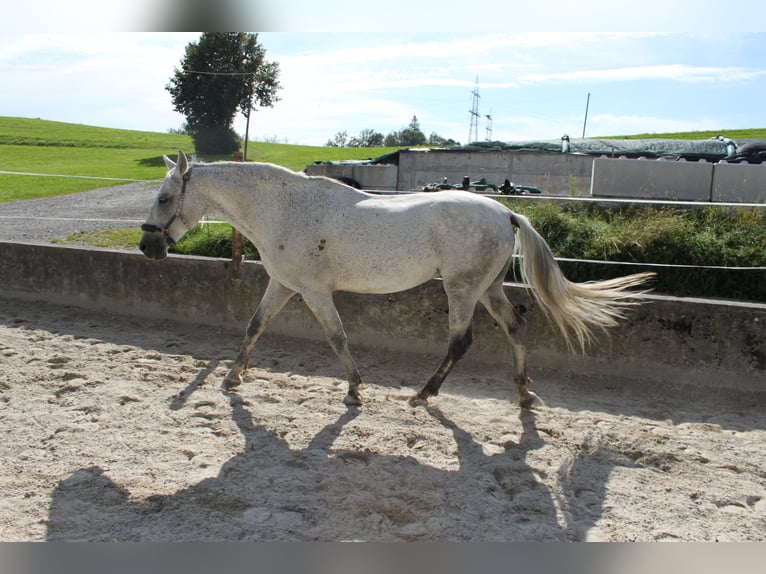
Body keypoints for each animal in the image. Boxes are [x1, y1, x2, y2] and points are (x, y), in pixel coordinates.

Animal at [140, 151, 653, 409]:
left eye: (165, 198)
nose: (148, 248)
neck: (284, 210)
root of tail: (506, 211)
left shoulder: (313, 292)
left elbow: (337, 337)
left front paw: (354, 390)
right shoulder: (284, 285)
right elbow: (254, 326)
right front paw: (232, 378)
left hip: (461, 289)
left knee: (461, 341)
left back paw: (424, 395)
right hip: (487, 289)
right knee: (515, 328)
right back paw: (524, 394)